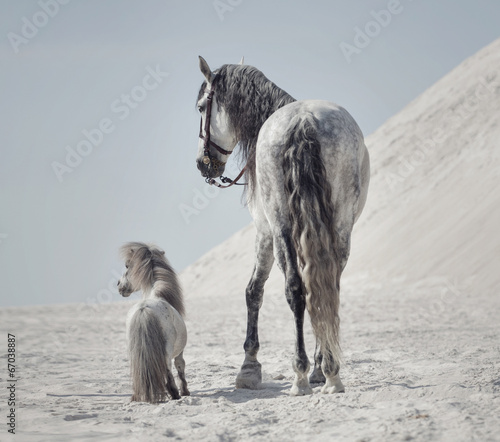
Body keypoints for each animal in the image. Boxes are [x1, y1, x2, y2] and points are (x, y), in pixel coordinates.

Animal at [195, 57, 372, 396]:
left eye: (200, 108)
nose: (202, 163)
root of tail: (303, 120)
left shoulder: (264, 231)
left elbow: (253, 290)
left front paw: (249, 368)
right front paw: (319, 366)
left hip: (280, 226)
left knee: (296, 289)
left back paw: (302, 374)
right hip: (340, 227)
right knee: (325, 286)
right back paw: (328, 372)